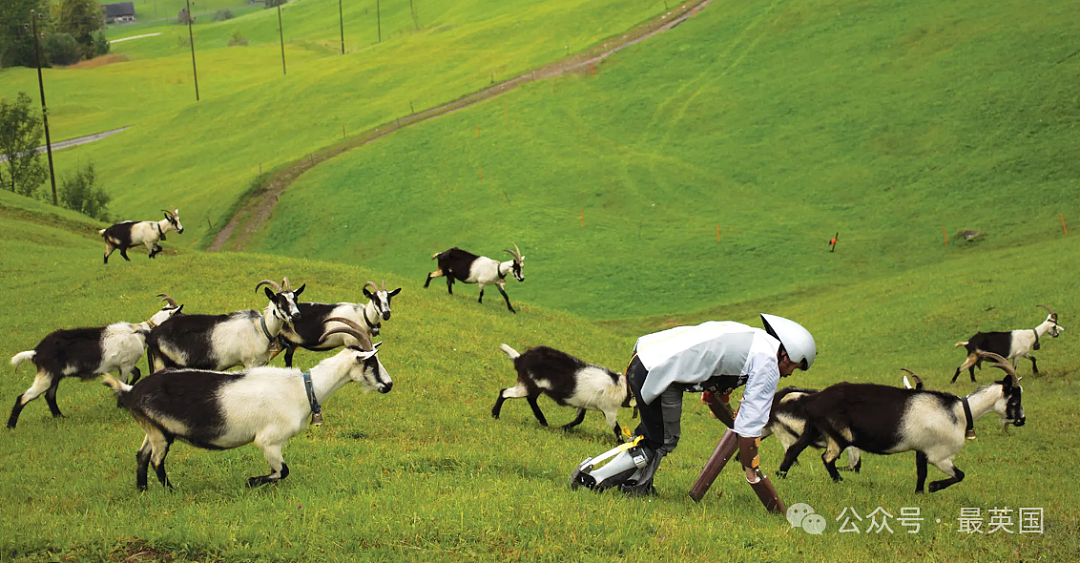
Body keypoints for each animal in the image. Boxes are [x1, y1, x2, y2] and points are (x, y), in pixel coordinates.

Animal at [9, 293, 182, 425]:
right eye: (179, 314)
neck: (141, 332)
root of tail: (36, 352)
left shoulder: (125, 364)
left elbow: (137, 373)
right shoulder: (125, 365)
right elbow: (125, 380)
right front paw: (120, 404)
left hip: (53, 377)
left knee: (49, 397)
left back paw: (61, 417)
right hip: (46, 376)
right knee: (23, 398)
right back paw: (11, 427)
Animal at [103, 315, 390, 486]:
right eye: (371, 362)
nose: (388, 385)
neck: (303, 388)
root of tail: (130, 391)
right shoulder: (269, 441)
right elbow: (282, 471)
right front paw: (251, 481)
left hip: (152, 428)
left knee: (142, 457)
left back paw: (144, 491)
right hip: (161, 434)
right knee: (156, 461)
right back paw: (170, 491)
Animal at [145, 276, 302, 373]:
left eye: (295, 299)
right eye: (280, 301)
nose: (296, 315)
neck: (261, 329)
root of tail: (153, 335)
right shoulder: (250, 363)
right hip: (165, 364)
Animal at [492, 341, 630, 438]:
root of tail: (519, 358)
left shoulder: (583, 403)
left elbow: (579, 419)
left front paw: (562, 428)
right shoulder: (609, 409)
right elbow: (617, 429)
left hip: (533, 386)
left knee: (530, 398)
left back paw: (543, 421)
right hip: (527, 384)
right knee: (505, 392)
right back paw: (495, 415)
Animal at [781, 356, 1023, 492]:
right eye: (1015, 399)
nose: (1022, 420)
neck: (959, 413)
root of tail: (814, 398)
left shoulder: (922, 449)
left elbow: (921, 474)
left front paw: (920, 494)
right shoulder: (939, 455)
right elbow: (959, 475)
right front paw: (934, 487)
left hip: (814, 429)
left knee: (794, 449)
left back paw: (781, 476)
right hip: (840, 435)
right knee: (827, 458)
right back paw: (840, 481)